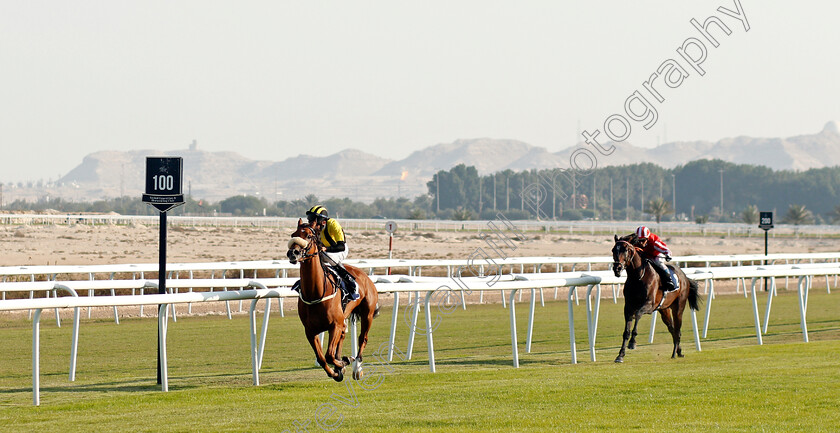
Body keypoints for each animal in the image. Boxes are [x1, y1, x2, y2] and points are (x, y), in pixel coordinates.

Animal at [288, 219, 380, 382]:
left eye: (309, 236)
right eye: (293, 235)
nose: (293, 253)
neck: (315, 292)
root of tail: (365, 276)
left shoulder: (334, 325)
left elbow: (329, 355)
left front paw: (344, 362)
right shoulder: (310, 331)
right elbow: (322, 358)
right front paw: (336, 371)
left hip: (367, 314)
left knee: (363, 338)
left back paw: (357, 366)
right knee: (343, 334)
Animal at [612, 233, 704, 362]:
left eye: (626, 250)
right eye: (613, 250)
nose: (617, 268)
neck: (637, 277)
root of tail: (685, 277)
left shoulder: (649, 304)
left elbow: (638, 315)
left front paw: (633, 342)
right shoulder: (628, 307)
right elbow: (626, 331)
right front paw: (620, 355)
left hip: (678, 308)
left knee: (677, 330)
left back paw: (675, 353)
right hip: (664, 310)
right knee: (672, 329)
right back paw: (678, 351)